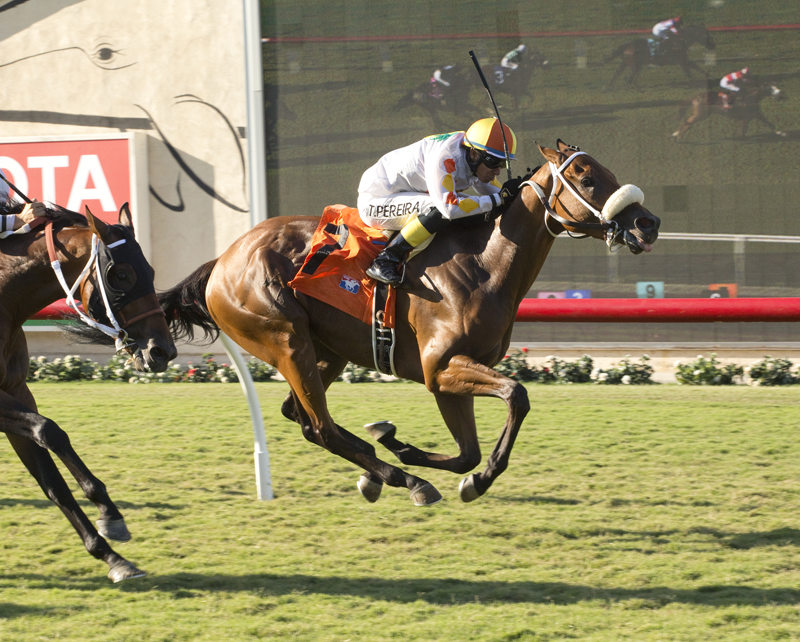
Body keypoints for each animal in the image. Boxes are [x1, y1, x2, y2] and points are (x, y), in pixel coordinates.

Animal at [0, 199, 177, 580]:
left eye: (151, 271)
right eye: (120, 275)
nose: (163, 351)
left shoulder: (17, 390)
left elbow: (52, 483)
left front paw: (112, 555)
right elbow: (49, 430)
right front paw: (109, 512)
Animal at [159, 140, 660, 504]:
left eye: (610, 174)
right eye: (587, 178)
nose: (648, 223)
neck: (483, 264)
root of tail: (222, 261)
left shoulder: (449, 376)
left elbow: (467, 454)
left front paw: (421, 455)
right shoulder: (440, 367)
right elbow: (516, 396)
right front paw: (462, 476)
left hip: (328, 351)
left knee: (300, 415)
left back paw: (377, 471)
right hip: (285, 340)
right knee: (318, 426)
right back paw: (405, 480)